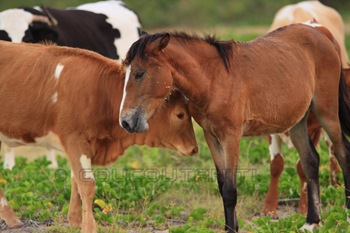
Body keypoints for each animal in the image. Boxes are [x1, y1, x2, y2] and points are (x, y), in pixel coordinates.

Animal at [119, 22, 350, 232]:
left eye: (139, 73)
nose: (125, 121)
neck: (213, 79)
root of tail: (321, 33)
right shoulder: (212, 137)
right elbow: (223, 186)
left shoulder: (231, 138)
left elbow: (230, 190)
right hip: (298, 121)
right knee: (311, 161)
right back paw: (311, 222)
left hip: (327, 112)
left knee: (342, 153)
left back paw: (345, 214)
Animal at [264, 0, 348, 217]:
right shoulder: (270, 130)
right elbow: (276, 164)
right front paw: (269, 205)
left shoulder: (314, 129)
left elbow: (304, 165)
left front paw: (304, 206)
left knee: (333, 149)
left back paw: (335, 184)